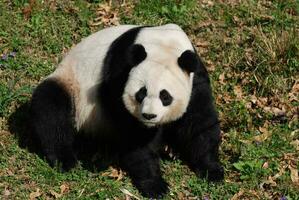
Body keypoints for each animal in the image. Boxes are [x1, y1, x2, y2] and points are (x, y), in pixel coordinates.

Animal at [28, 24, 225, 198]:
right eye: (141, 93)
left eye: (165, 96)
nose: (149, 116)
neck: (163, 44)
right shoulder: (119, 72)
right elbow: (133, 134)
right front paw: (155, 185)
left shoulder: (196, 78)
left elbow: (200, 123)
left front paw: (212, 171)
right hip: (72, 85)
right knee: (51, 107)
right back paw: (65, 160)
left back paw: (171, 149)